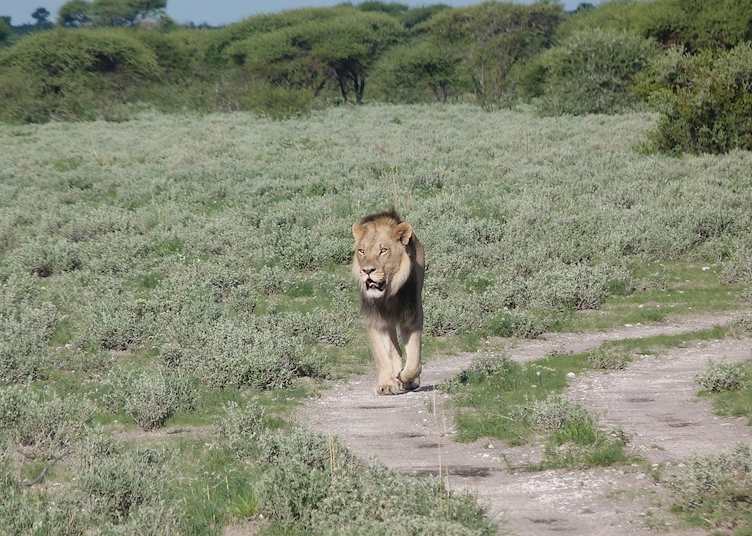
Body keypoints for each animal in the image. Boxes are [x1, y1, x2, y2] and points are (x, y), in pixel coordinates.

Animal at [352, 210, 424, 395]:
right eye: (361, 251)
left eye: (383, 250)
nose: (367, 270)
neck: (387, 295)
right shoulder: (375, 320)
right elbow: (383, 355)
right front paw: (387, 384)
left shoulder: (412, 317)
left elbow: (414, 360)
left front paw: (406, 378)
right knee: (393, 348)